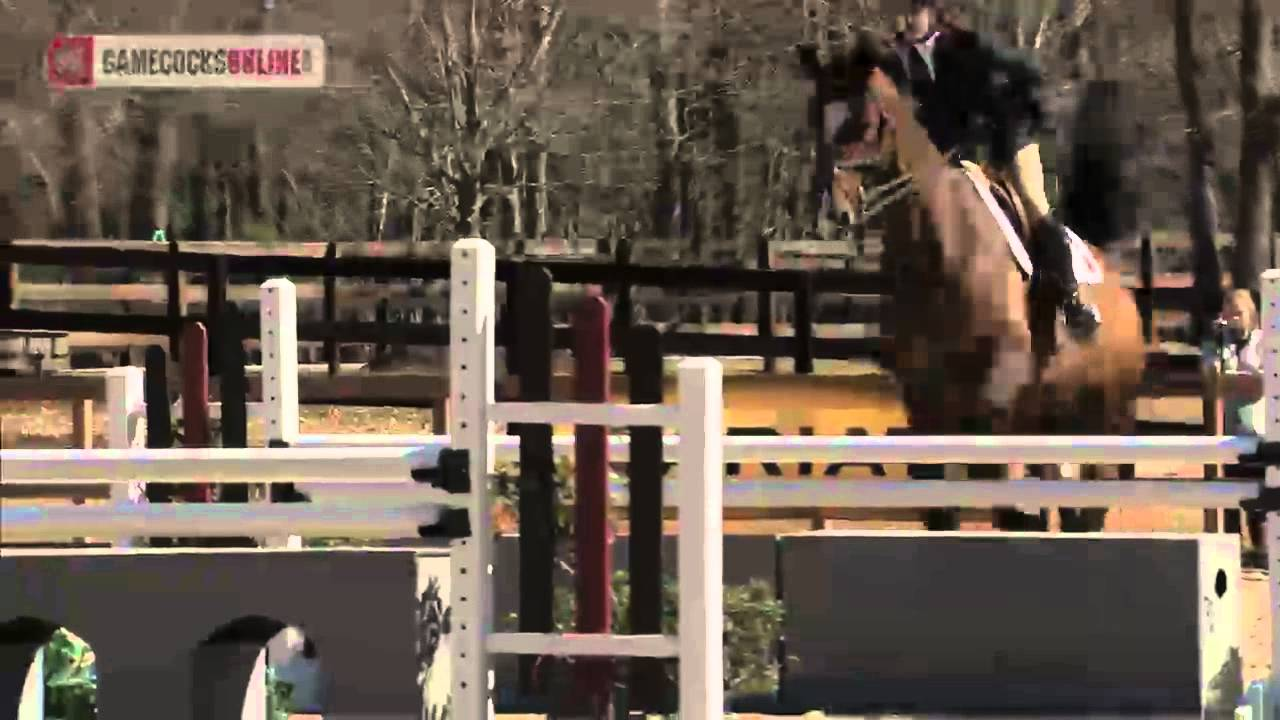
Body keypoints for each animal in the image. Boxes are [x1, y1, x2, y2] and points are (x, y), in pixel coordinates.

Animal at [798, 35, 1152, 532]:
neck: (942, 250)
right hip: (1053, 421)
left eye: (865, 121)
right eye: (815, 117)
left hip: (1103, 419)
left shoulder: (994, 405)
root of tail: (1127, 302)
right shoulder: (927, 404)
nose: (830, 214)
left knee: (1090, 510)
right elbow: (940, 510)